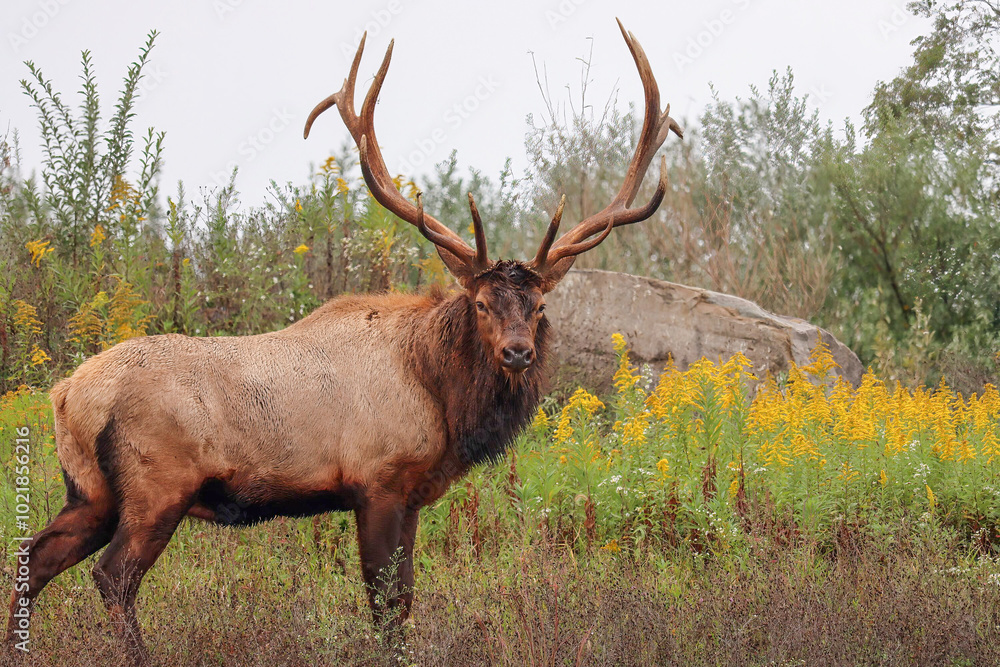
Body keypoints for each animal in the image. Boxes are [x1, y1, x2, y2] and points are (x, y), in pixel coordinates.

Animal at [5, 19, 681, 663]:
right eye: (481, 304)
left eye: (539, 306)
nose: (518, 352)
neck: (437, 393)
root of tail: (67, 395)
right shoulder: (377, 482)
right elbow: (384, 605)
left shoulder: (411, 497)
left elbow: (403, 600)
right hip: (156, 487)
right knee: (112, 576)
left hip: (89, 491)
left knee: (31, 560)